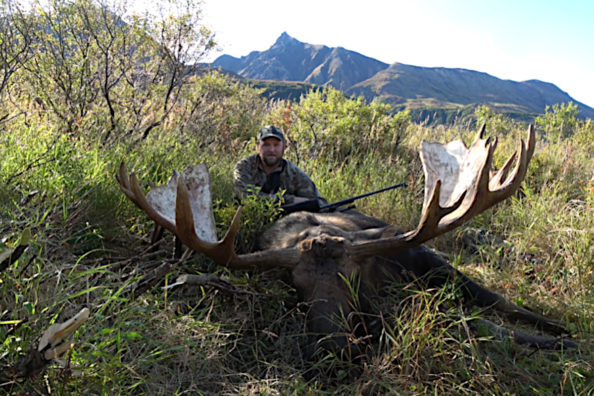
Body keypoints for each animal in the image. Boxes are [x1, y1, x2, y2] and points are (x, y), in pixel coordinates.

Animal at [117, 125, 572, 354]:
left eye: (351, 279)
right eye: (295, 287)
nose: (335, 346)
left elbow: (490, 315)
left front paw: (554, 336)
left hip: (431, 258)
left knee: (495, 300)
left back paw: (558, 329)